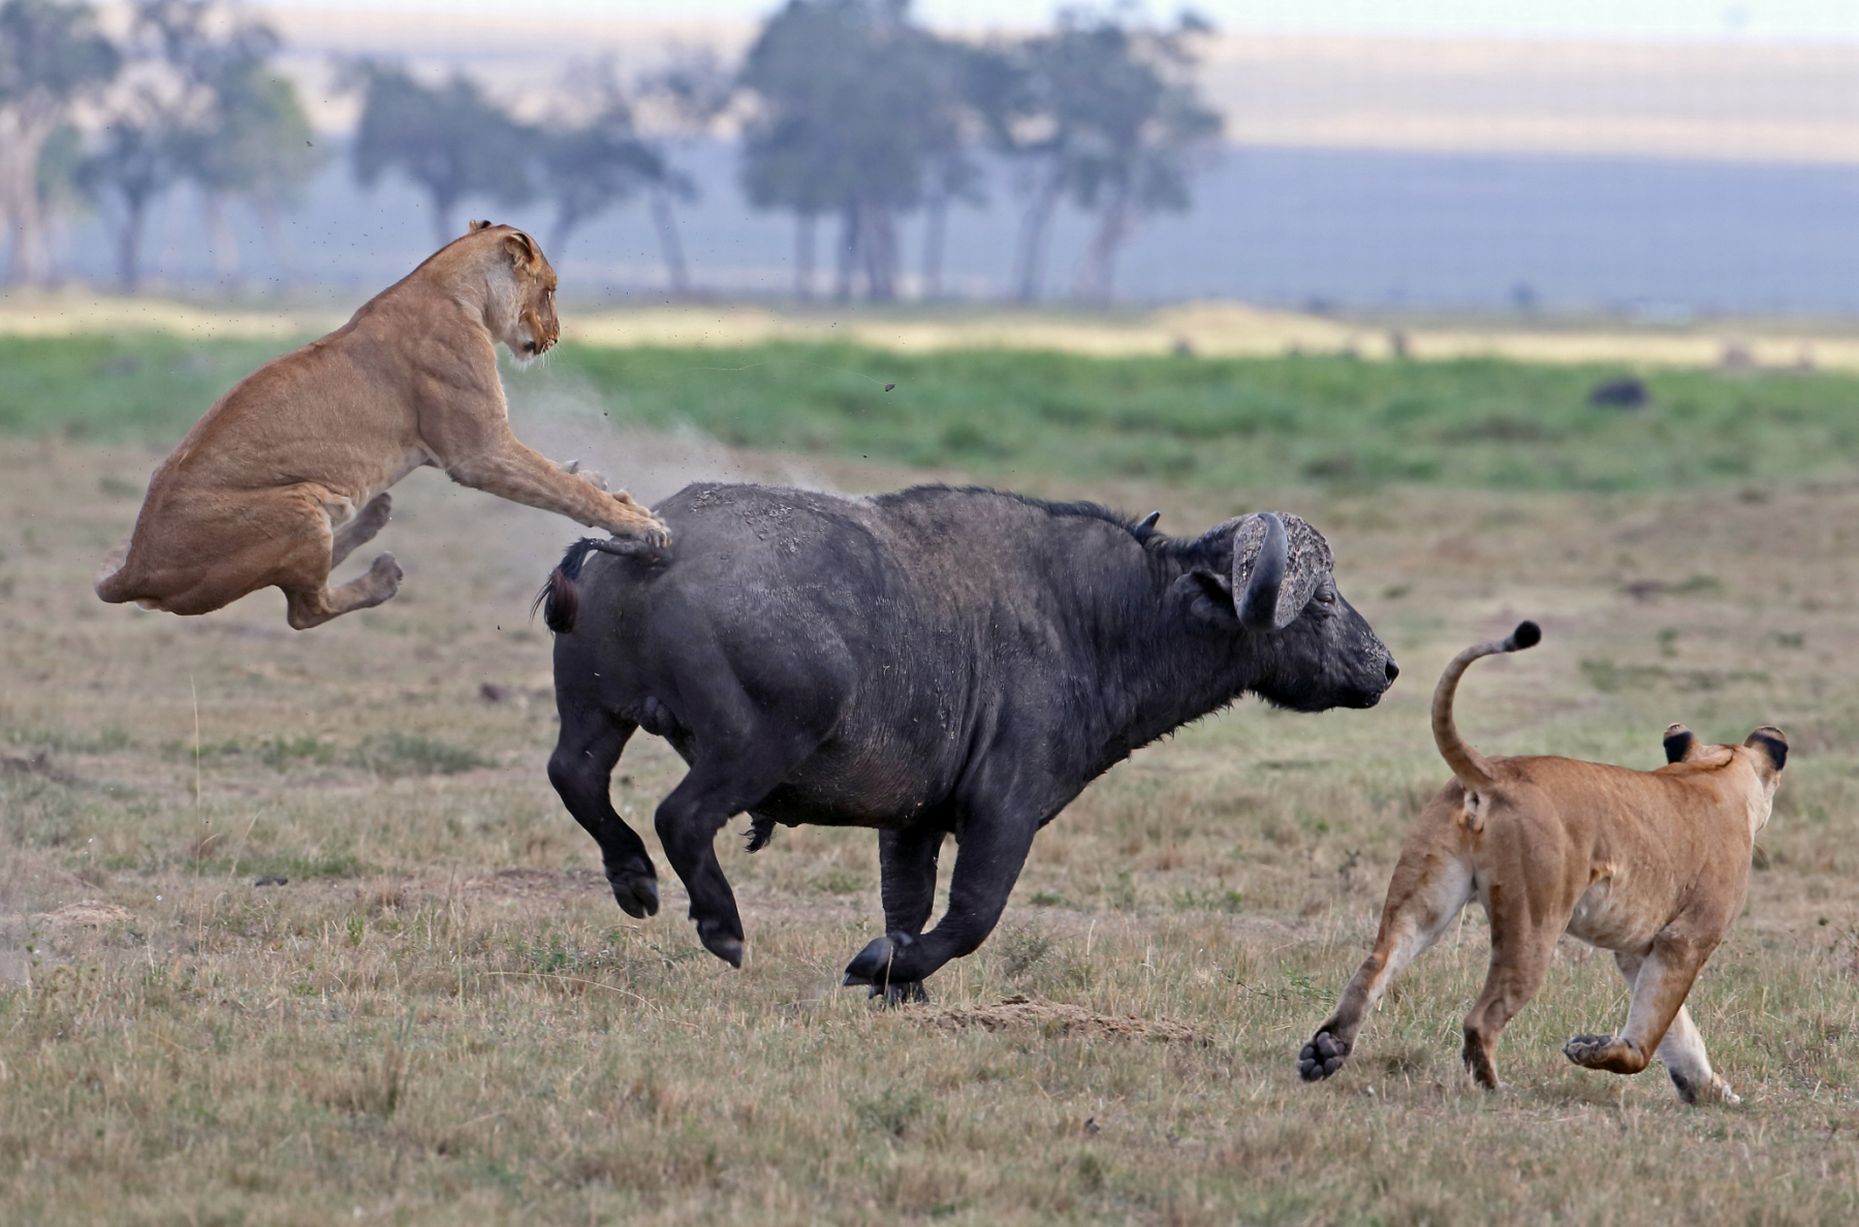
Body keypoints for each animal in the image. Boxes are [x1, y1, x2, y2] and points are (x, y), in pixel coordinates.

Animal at [539, 479, 1397, 996]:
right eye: (1322, 600)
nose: (1385, 666)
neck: (1099, 619)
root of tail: (655, 537)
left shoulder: (910, 821)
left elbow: (906, 901)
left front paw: (902, 985)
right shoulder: (1003, 810)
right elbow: (971, 915)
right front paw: (881, 968)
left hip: (596, 712)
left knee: (574, 778)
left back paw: (633, 880)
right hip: (755, 743)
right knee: (679, 815)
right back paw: (721, 926)